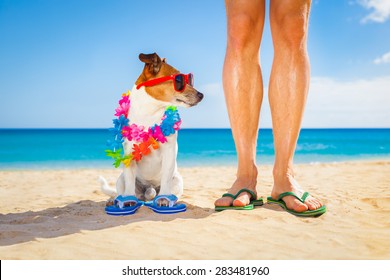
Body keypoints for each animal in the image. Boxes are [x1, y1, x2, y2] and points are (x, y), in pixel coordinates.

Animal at [99, 52, 204, 207]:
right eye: (178, 80)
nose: (201, 95)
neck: (150, 114)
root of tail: (147, 191)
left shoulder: (169, 151)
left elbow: (166, 177)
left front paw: (164, 198)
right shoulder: (129, 152)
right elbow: (129, 180)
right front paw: (128, 199)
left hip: (178, 180)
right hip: (121, 179)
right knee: (122, 191)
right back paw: (115, 199)